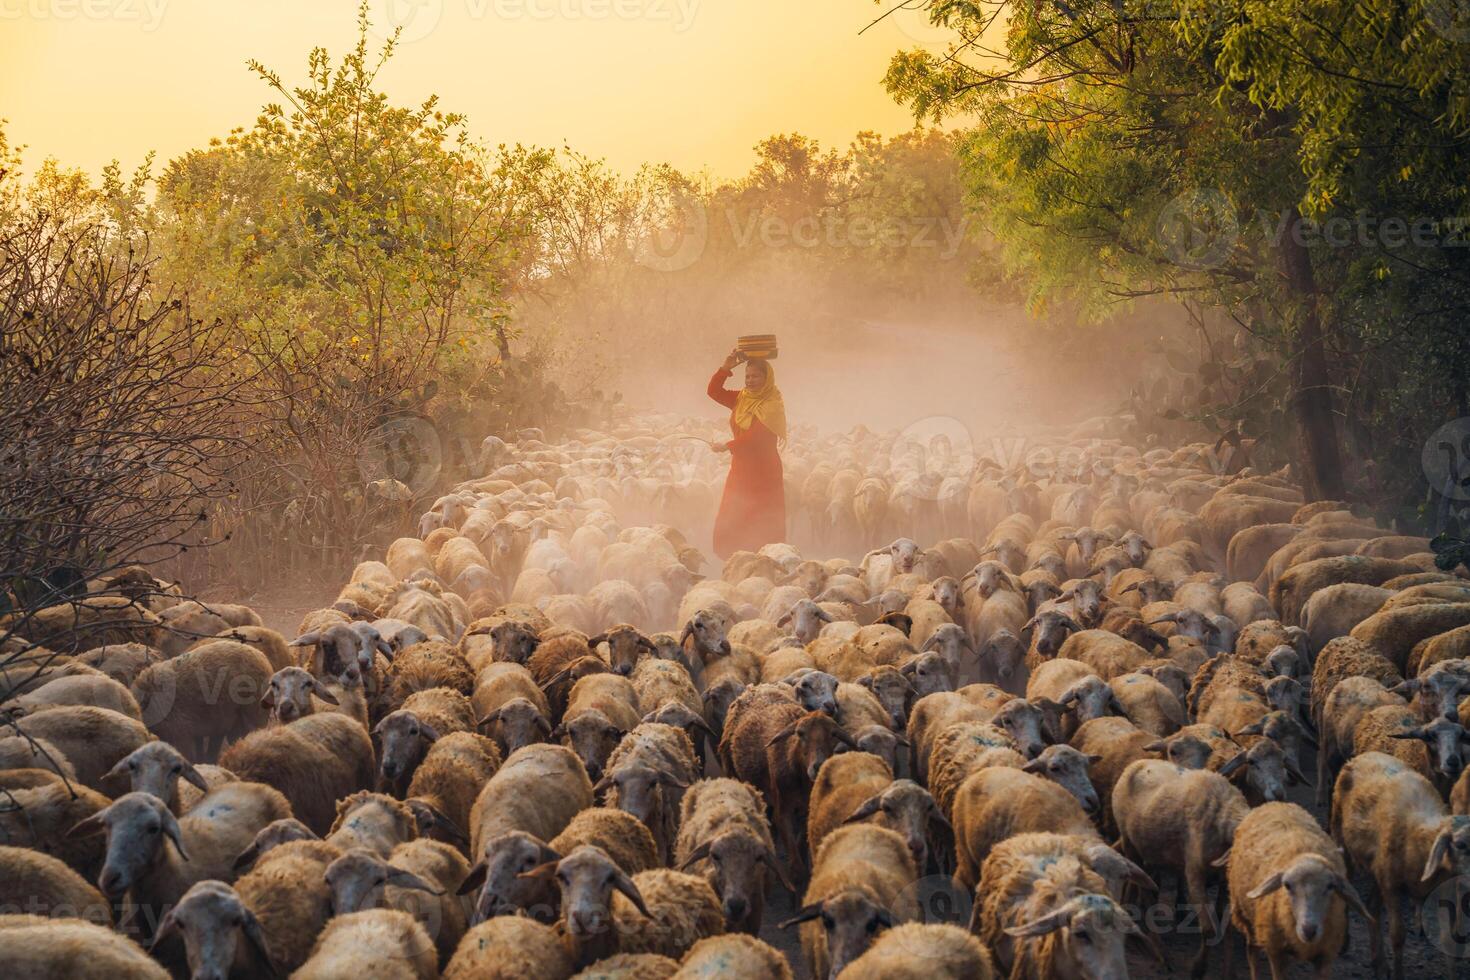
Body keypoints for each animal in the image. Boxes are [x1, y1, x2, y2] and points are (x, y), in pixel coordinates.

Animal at [1223, 805, 1370, 980]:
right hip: (1246, 918)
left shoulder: (1325, 956)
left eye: (1330, 886)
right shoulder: (1276, 952)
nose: (1309, 930)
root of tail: (1273, 804)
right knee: (1252, 953)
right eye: (1287, 885)